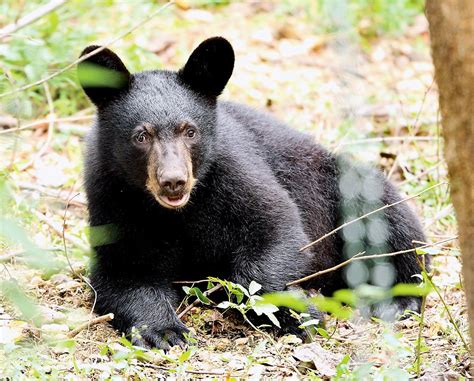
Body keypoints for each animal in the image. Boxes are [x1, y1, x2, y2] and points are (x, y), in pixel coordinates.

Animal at [78, 37, 426, 348]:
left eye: (190, 131)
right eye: (141, 136)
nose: (174, 181)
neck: (175, 212)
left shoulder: (233, 172)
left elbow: (274, 230)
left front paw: (299, 314)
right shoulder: (112, 199)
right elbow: (123, 273)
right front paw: (164, 332)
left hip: (345, 187)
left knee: (394, 227)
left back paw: (398, 300)